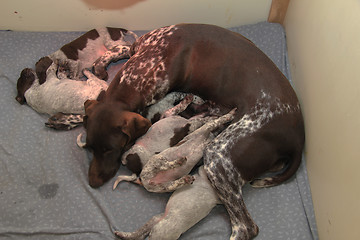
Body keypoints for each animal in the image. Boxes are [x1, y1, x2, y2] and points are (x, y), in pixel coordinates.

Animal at [83, 23, 304, 239]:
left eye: (110, 149)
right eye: (90, 147)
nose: (92, 183)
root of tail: (298, 141)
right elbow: (121, 48)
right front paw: (101, 63)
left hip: (219, 156)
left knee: (245, 227)